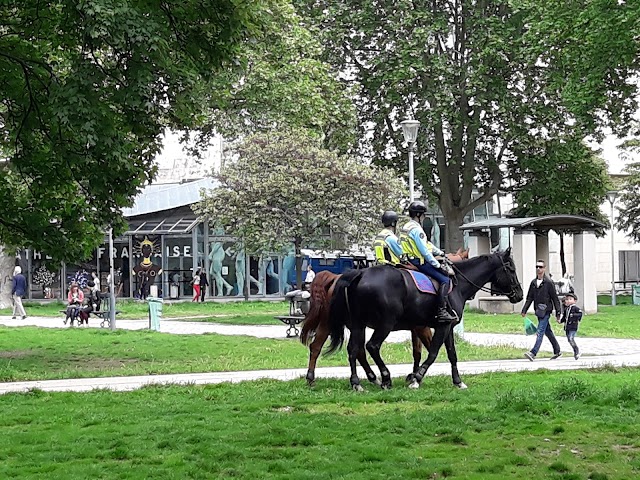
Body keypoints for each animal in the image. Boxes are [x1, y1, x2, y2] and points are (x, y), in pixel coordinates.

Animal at [300, 248, 470, 386]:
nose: (451, 273)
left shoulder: (417, 327)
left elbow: (418, 351)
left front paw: (415, 375)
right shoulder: (425, 327)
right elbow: (431, 349)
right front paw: (417, 376)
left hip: (343, 323)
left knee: (323, 346)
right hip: (379, 323)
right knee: (365, 347)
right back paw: (381, 378)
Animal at [328, 248, 524, 390]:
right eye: (511, 269)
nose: (520, 295)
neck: (458, 285)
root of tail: (360, 274)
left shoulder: (448, 327)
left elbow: (452, 354)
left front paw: (458, 381)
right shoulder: (440, 326)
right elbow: (433, 352)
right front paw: (416, 378)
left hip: (358, 325)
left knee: (354, 349)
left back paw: (356, 382)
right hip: (385, 324)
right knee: (372, 346)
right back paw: (385, 378)